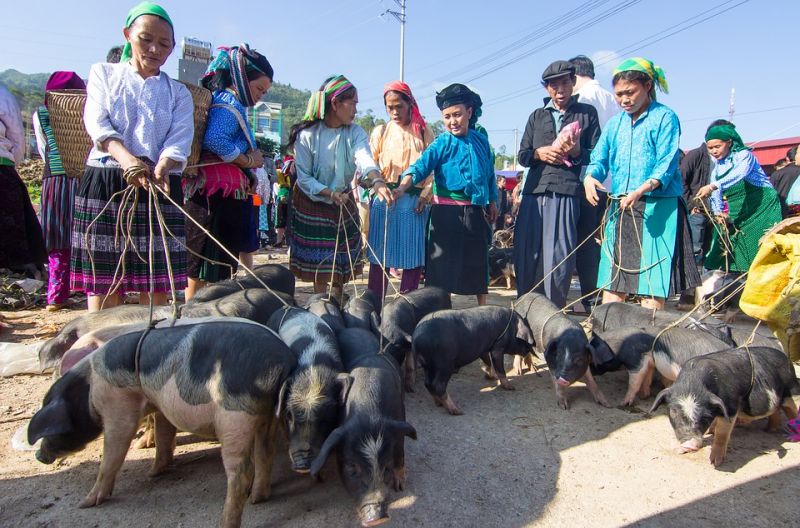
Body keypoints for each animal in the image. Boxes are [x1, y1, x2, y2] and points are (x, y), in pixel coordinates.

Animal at [28, 318, 298, 528]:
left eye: (54, 430)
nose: (39, 456)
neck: (88, 388)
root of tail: (282, 361)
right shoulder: (158, 403)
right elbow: (164, 433)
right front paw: (155, 471)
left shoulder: (117, 405)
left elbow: (113, 452)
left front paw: (86, 503)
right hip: (266, 416)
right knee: (265, 452)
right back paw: (257, 498)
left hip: (235, 417)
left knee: (241, 472)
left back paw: (225, 522)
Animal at [310, 348, 416, 524]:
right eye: (352, 467)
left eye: (386, 467)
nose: (378, 519)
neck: (369, 413)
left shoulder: (400, 418)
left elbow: (400, 451)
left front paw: (400, 487)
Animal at [648, 348, 800, 468]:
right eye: (673, 412)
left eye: (705, 416)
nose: (690, 443)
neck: (692, 385)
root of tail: (787, 358)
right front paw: (680, 450)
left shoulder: (730, 406)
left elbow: (722, 433)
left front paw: (715, 463)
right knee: (775, 411)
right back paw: (770, 430)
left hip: (789, 391)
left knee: (792, 408)